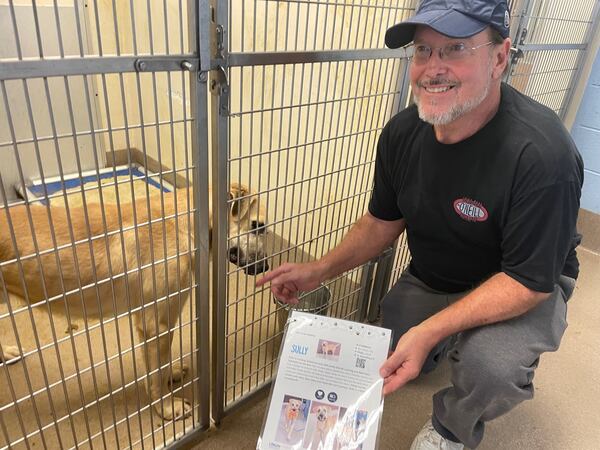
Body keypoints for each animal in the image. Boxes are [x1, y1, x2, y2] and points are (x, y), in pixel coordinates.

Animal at [0, 182, 268, 418]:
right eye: (259, 226)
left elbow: (161, 365)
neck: (186, 222)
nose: (266, 267)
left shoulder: (162, 324)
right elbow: (156, 374)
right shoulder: (155, 326)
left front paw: (171, 374)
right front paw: (167, 408)